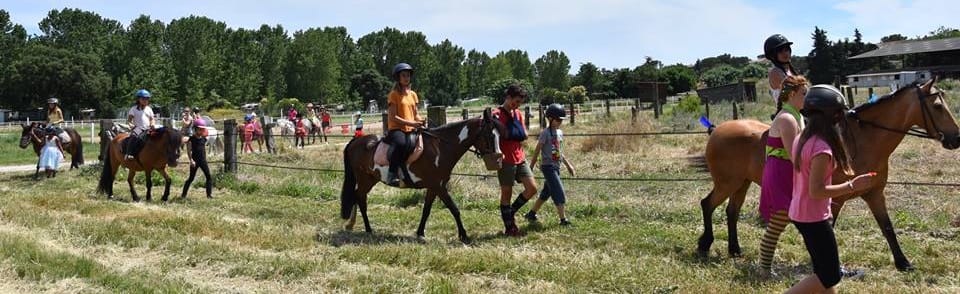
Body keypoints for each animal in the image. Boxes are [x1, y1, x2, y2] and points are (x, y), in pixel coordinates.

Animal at [338, 108, 502, 243]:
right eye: (489, 135)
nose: (498, 159)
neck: (441, 148)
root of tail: (356, 141)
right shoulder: (439, 187)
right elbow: (454, 209)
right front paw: (464, 235)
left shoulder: (434, 187)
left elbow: (426, 210)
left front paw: (420, 233)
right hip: (364, 179)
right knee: (360, 198)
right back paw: (367, 228)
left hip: (370, 179)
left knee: (358, 197)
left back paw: (353, 225)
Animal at [696, 77, 960, 272]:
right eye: (937, 106)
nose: (956, 138)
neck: (861, 141)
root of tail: (717, 129)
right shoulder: (833, 198)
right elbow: (829, 228)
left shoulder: (874, 194)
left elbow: (887, 227)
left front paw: (903, 262)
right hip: (727, 183)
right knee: (707, 204)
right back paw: (705, 245)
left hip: (741, 183)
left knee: (731, 212)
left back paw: (734, 249)